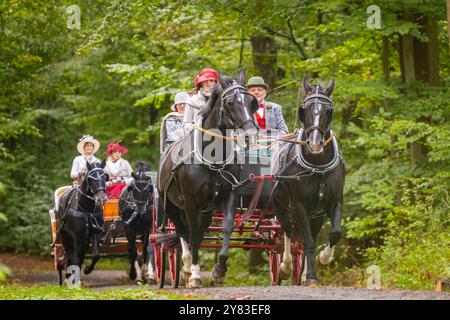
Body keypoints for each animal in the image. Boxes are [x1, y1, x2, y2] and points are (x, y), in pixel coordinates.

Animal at [157, 71, 256, 288]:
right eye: (230, 102)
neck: (213, 160)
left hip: (206, 211)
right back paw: (186, 267)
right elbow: (192, 235)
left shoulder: (229, 196)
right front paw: (194, 274)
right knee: (182, 231)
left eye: (251, 102)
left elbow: (227, 226)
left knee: (196, 231)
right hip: (171, 206)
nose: (250, 135)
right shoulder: (191, 204)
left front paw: (219, 269)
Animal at [270, 77, 344, 284]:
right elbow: (309, 241)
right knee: (286, 232)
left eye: (328, 110)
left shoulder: (334, 202)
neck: (318, 166)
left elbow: (334, 234)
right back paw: (285, 266)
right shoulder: (300, 204)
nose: (315, 144)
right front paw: (311, 276)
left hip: (315, 215)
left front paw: (323, 259)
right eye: (305, 109)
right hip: (281, 206)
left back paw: (301, 274)